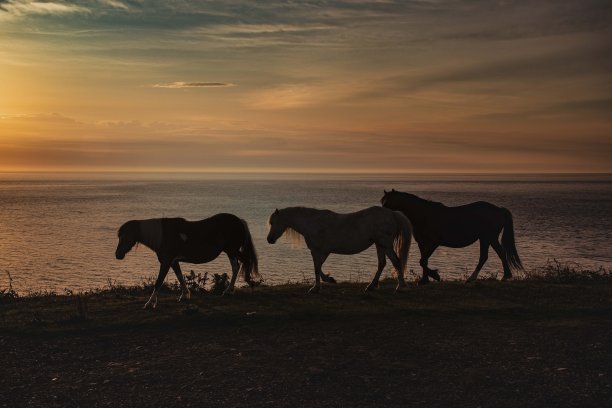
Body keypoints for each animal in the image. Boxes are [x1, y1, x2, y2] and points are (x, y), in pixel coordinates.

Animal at [115, 215, 258, 308]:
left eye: (125, 236)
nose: (118, 255)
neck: (162, 235)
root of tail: (239, 221)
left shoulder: (166, 262)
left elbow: (158, 282)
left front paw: (149, 303)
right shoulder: (173, 262)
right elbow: (179, 276)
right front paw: (184, 295)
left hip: (231, 250)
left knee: (241, 264)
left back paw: (238, 286)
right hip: (231, 251)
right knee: (240, 265)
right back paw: (236, 288)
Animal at [264, 207, 412, 294]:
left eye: (273, 222)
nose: (269, 239)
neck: (311, 222)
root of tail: (392, 213)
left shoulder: (317, 251)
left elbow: (316, 268)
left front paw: (316, 287)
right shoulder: (323, 252)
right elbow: (319, 268)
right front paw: (329, 280)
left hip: (385, 245)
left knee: (396, 261)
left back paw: (400, 286)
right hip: (379, 245)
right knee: (382, 264)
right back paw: (371, 286)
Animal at [382, 190, 520, 284]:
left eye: (387, 202)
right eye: (382, 202)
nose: (382, 216)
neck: (424, 215)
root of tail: (499, 210)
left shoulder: (434, 243)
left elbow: (422, 261)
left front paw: (435, 276)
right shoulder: (422, 243)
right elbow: (424, 260)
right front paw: (424, 280)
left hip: (488, 237)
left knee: (489, 256)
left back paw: (475, 278)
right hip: (487, 238)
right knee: (495, 254)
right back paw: (503, 276)